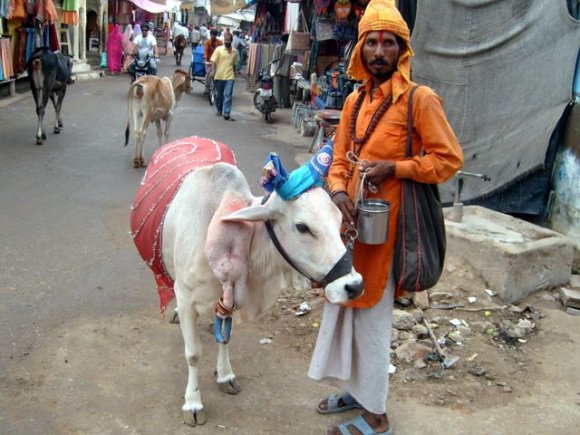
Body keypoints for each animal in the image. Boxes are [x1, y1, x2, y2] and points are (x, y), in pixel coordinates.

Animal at [131, 138, 362, 428]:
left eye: (338, 219)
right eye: (302, 227)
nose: (354, 285)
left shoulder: (230, 295)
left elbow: (225, 338)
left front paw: (225, 375)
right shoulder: (186, 299)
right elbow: (193, 353)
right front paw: (193, 402)